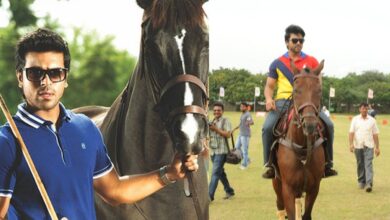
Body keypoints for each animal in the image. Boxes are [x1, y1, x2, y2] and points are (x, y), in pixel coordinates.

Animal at [272, 60, 326, 220]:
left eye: (319, 90)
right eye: (296, 90)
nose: (310, 125)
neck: (302, 146)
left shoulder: (314, 187)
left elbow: (306, 214)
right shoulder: (288, 188)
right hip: (277, 182)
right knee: (280, 206)